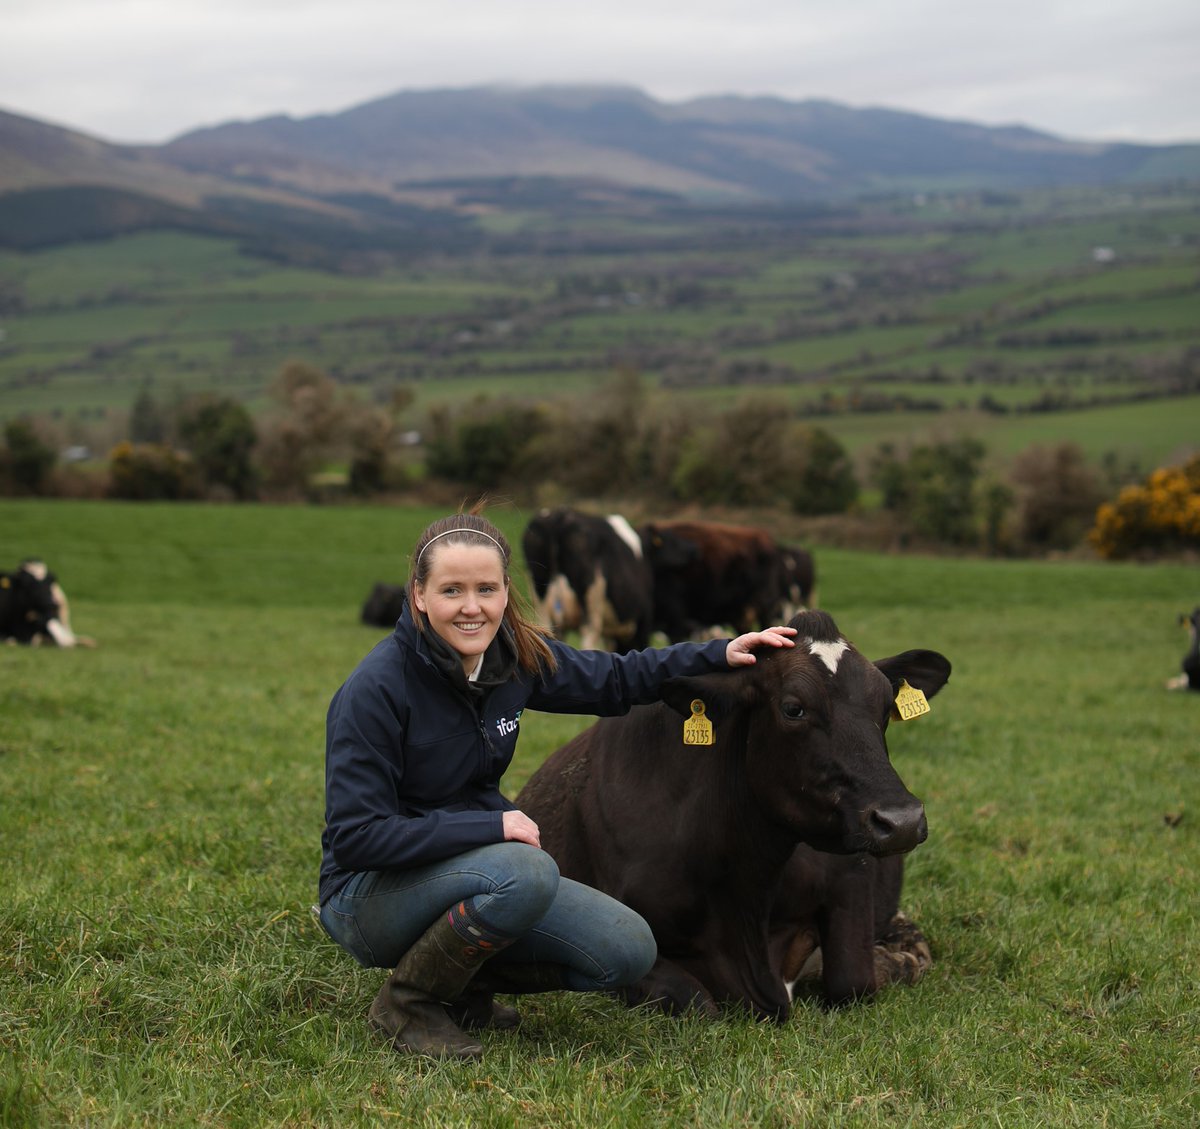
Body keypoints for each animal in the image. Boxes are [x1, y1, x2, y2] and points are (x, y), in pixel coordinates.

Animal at [520, 611, 950, 1017]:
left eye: (885, 705)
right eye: (793, 708)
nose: (902, 820)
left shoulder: (852, 880)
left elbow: (853, 981)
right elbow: (696, 1000)